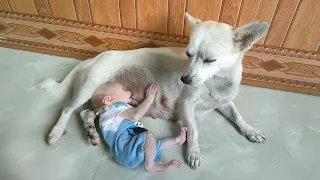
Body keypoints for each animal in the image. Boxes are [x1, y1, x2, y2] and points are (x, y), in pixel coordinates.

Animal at [37, 13, 268, 169]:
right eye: (188, 54)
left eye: (210, 60)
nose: (184, 79)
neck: (216, 82)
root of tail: (93, 58)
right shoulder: (187, 105)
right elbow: (194, 130)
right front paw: (193, 151)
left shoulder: (224, 102)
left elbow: (237, 116)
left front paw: (250, 130)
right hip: (89, 90)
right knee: (68, 109)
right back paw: (56, 131)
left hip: (115, 102)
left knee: (86, 113)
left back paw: (91, 131)